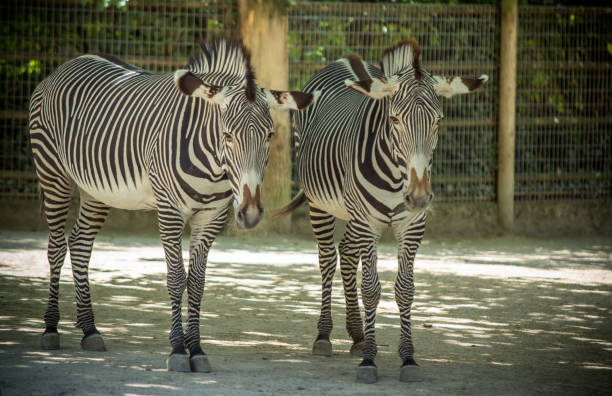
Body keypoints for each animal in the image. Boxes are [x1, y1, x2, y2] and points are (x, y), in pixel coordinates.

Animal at [28, 36, 316, 372]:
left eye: (270, 136)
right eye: (227, 136)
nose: (251, 213)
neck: (213, 166)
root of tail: (70, 63)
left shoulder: (211, 216)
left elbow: (198, 281)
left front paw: (197, 349)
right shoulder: (169, 210)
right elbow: (177, 277)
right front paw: (178, 349)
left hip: (95, 190)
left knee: (80, 243)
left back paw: (90, 330)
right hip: (53, 172)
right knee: (56, 247)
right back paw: (50, 328)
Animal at [278, 40, 488, 384]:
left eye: (439, 120)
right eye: (395, 120)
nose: (418, 196)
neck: (394, 175)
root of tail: (344, 60)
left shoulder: (412, 225)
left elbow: (405, 289)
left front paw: (407, 357)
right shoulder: (368, 222)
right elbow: (371, 288)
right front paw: (369, 360)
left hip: (351, 213)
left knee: (348, 255)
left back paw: (357, 334)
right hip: (321, 204)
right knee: (327, 259)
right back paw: (324, 335)